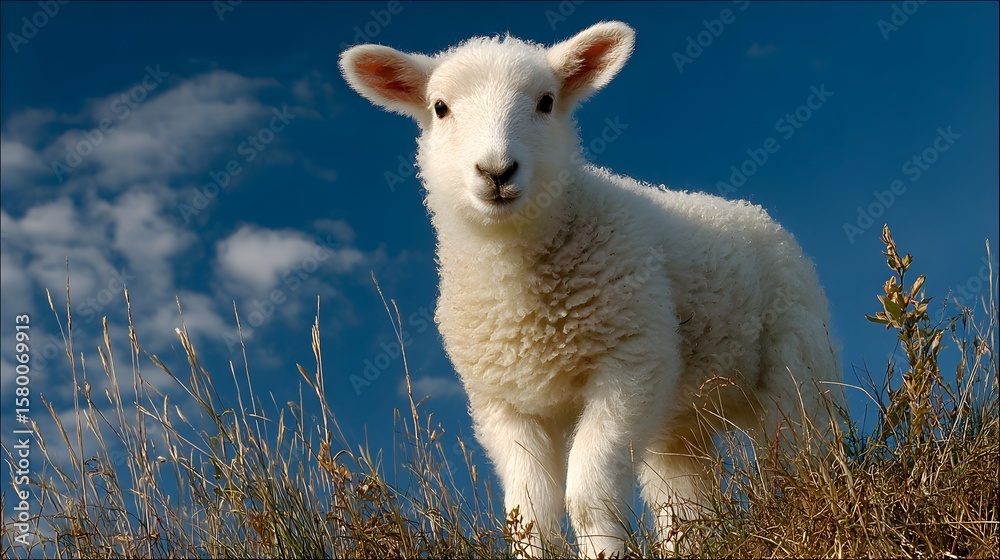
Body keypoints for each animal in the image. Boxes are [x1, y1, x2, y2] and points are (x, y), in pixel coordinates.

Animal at [339, 20, 845, 558]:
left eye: (546, 101)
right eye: (440, 107)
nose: (497, 172)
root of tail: (758, 213)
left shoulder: (630, 364)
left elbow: (588, 497)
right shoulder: (505, 404)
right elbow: (529, 515)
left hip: (798, 369)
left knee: (808, 454)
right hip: (680, 418)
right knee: (686, 504)